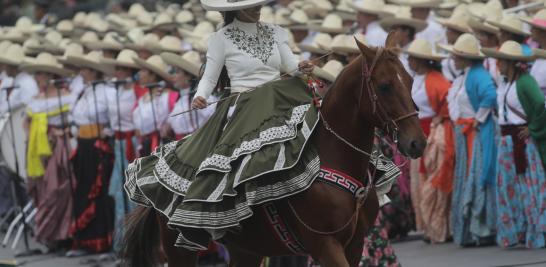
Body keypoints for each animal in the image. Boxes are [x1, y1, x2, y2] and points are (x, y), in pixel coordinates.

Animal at [121, 33, 422, 267]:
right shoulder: (325, 245)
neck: (333, 158)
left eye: (410, 81)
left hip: (247, 249)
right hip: (179, 249)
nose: (417, 142)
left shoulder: (355, 242)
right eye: (384, 86)